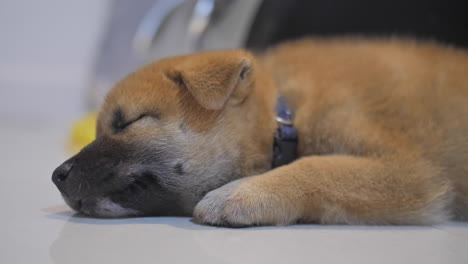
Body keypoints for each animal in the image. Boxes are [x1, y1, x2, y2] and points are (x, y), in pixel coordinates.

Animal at [51, 38, 468, 226]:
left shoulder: (410, 171)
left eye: (129, 122)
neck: (285, 117)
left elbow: (319, 167)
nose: (57, 175)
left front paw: (242, 192)